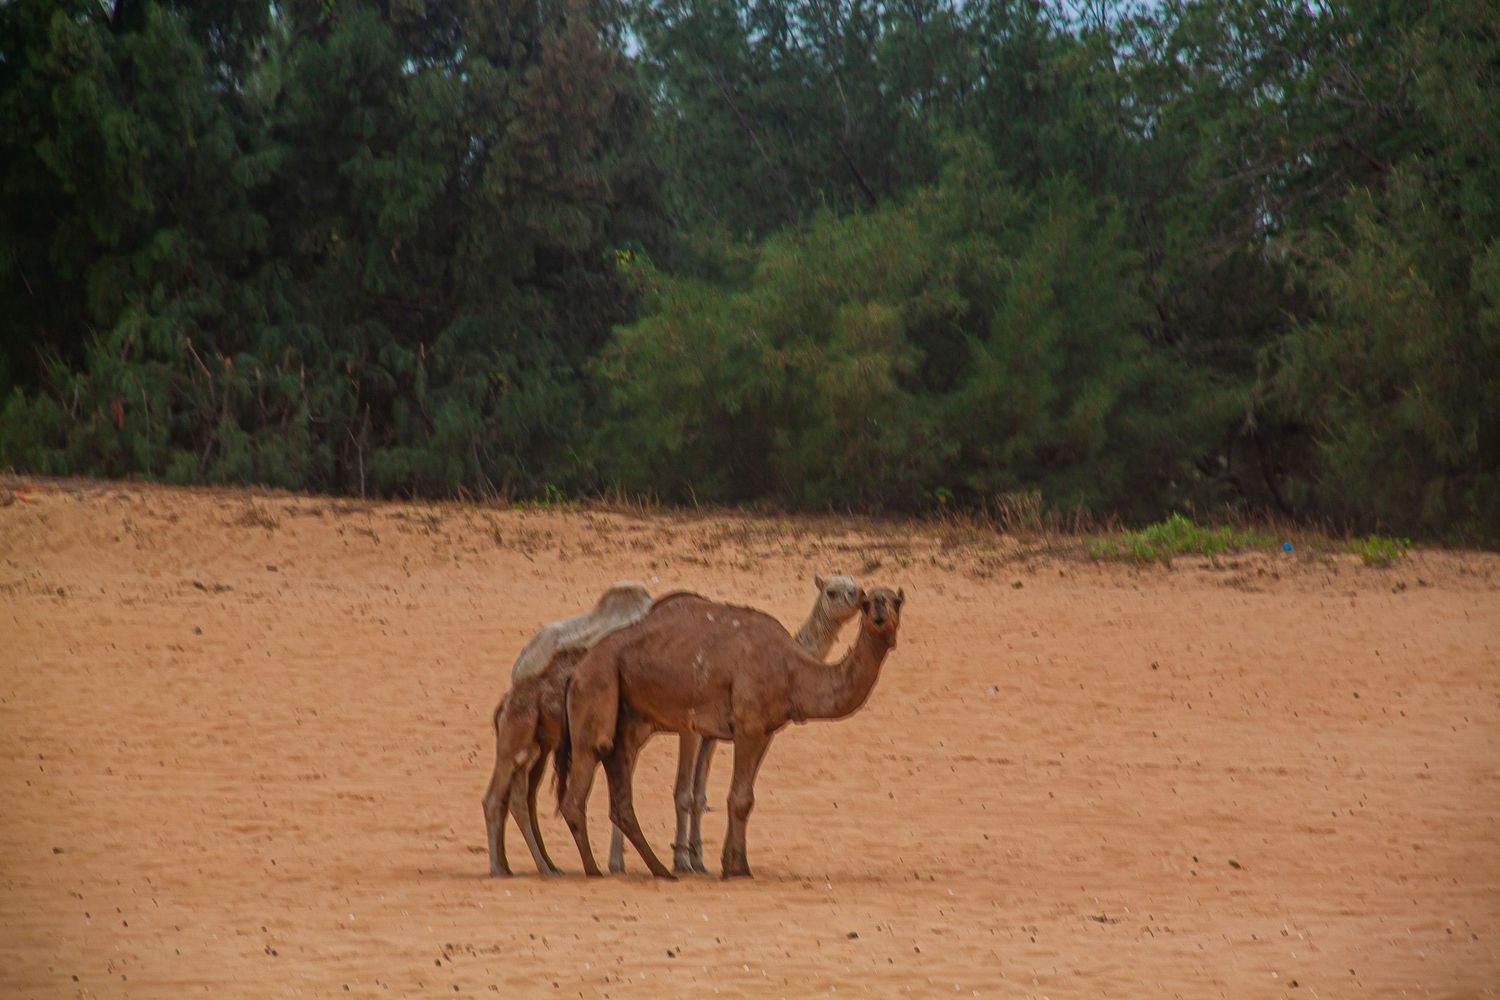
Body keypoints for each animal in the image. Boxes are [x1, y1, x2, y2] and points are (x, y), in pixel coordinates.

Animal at [482, 575, 861, 877]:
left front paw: (699, 859)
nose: (858, 596)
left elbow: (700, 794)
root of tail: (522, 659)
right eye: (832, 590)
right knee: (524, 787)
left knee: (531, 790)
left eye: (853, 583)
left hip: (548, 737)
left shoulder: (713, 732)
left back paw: (551, 864)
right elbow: (684, 793)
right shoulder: (689, 727)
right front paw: (684, 861)